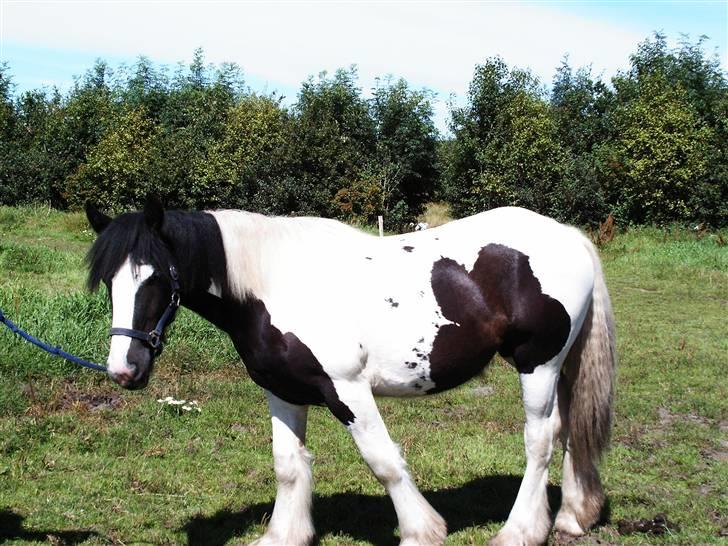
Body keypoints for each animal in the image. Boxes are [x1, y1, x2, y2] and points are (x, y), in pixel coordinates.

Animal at [86, 196, 616, 544]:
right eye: (108, 280)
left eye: (155, 277)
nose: (125, 369)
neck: (273, 284)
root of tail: (568, 236)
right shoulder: (282, 392)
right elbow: (288, 466)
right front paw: (284, 535)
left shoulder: (346, 388)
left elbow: (383, 461)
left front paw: (421, 531)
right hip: (561, 366)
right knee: (569, 428)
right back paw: (571, 517)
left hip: (538, 363)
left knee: (540, 440)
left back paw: (518, 531)